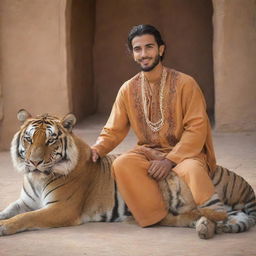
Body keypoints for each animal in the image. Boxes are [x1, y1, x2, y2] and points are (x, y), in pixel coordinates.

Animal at [0, 109, 255, 239]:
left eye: (50, 140)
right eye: (29, 139)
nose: (34, 162)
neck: (36, 178)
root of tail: (244, 185)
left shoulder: (62, 208)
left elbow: (27, 218)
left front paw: (4, 227)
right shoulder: (25, 201)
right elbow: (9, 211)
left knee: (213, 213)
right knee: (222, 219)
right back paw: (202, 227)